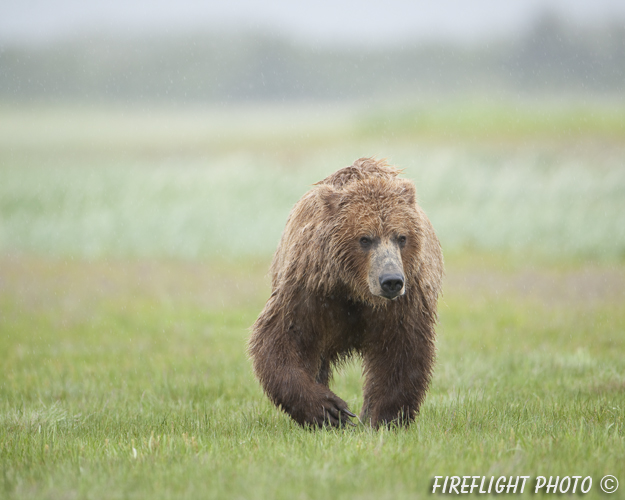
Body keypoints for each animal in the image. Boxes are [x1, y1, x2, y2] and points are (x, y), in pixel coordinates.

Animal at [246, 158, 442, 428]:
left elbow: (403, 351)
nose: (391, 281)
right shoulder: (310, 289)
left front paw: (381, 418)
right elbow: (281, 339)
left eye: (401, 237)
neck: (355, 289)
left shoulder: (404, 302)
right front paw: (329, 410)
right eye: (365, 238)